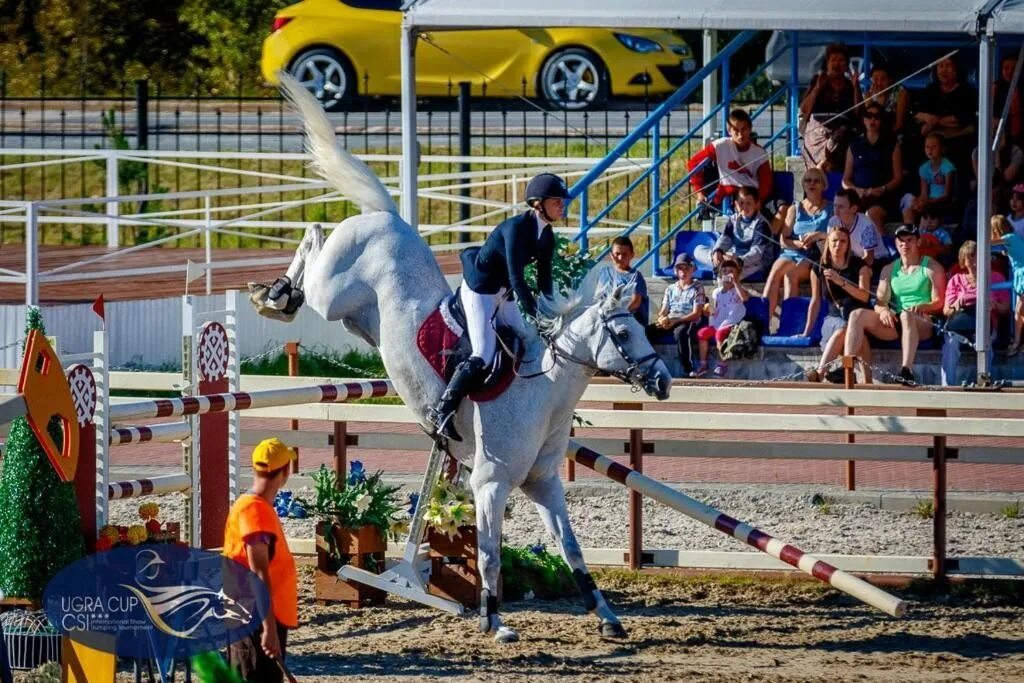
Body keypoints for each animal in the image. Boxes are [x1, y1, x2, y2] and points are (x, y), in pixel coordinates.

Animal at [250, 76, 671, 647]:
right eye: (625, 332)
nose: (663, 382)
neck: (545, 392)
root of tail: (389, 216)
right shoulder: (489, 485)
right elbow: (490, 555)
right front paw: (495, 621)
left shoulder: (544, 484)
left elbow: (572, 550)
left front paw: (606, 616)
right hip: (330, 293)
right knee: (314, 237)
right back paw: (275, 296)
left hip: (354, 317)